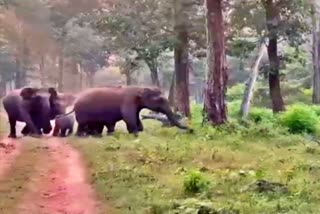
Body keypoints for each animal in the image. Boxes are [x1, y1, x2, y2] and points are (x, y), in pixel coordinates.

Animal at [62, 86, 192, 136]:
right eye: (160, 99)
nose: (191, 130)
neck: (140, 88)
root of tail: (75, 102)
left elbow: (136, 118)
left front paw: (139, 131)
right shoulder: (128, 101)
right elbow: (129, 117)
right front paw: (135, 133)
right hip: (82, 112)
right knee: (82, 124)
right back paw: (81, 136)